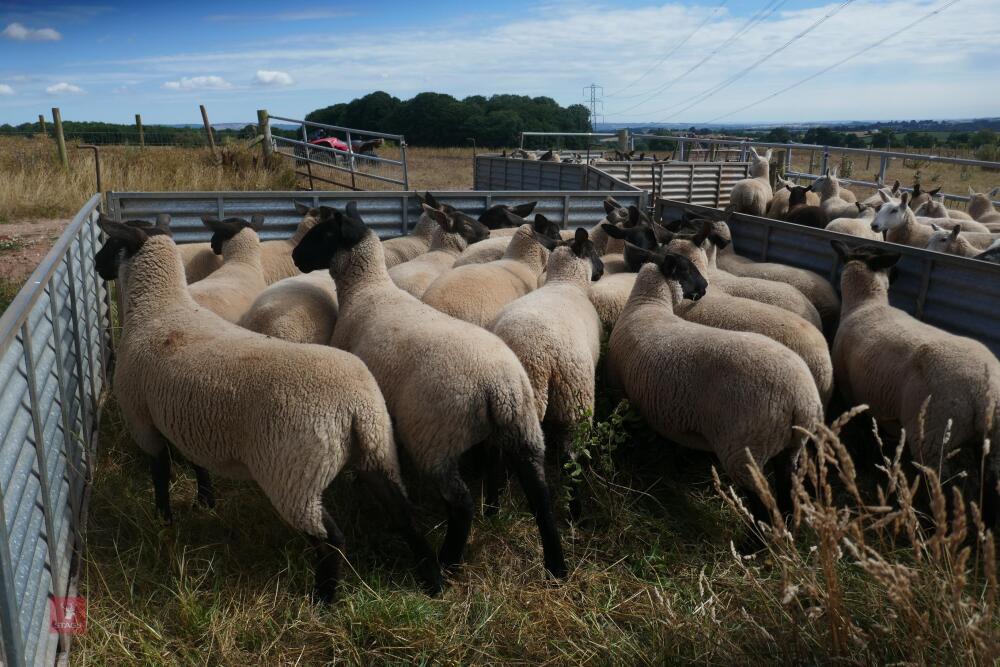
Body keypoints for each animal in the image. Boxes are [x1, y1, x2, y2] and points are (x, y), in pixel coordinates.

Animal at [94, 218, 442, 600]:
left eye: (111, 242)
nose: (96, 264)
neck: (159, 308)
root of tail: (355, 406)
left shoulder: (141, 418)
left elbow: (159, 472)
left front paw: (163, 519)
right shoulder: (184, 420)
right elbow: (198, 465)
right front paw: (205, 502)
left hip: (293, 474)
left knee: (330, 538)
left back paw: (323, 598)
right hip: (377, 450)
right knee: (404, 516)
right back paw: (431, 580)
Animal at [292, 204, 568, 580]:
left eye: (323, 234)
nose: (295, 256)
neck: (367, 289)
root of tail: (499, 387)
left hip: (436, 437)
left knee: (461, 503)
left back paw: (448, 561)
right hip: (524, 427)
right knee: (539, 492)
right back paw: (556, 565)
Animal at [604, 247, 824, 532]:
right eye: (687, 269)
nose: (705, 287)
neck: (647, 304)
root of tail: (802, 399)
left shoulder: (621, 391)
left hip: (744, 449)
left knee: (762, 503)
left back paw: (755, 539)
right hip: (790, 447)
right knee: (786, 488)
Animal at [828, 241, 1000, 528]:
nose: (901, 272)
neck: (865, 303)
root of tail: (983, 391)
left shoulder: (852, 392)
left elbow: (862, 431)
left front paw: (863, 461)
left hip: (931, 433)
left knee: (941, 489)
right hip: (991, 443)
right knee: (992, 487)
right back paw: (984, 526)